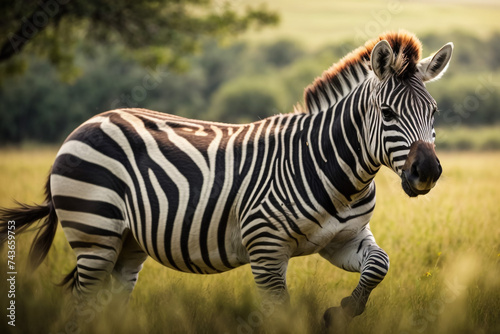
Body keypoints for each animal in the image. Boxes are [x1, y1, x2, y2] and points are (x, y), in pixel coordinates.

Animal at [0, 30, 454, 328]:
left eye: (434, 113)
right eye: (388, 114)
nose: (428, 172)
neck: (339, 174)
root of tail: (89, 121)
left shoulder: (342, 240)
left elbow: (379, 264)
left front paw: (341, 311)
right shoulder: (265, 248)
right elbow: (280, 315)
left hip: (126, 245)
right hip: (94, 231)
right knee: (81, 306)